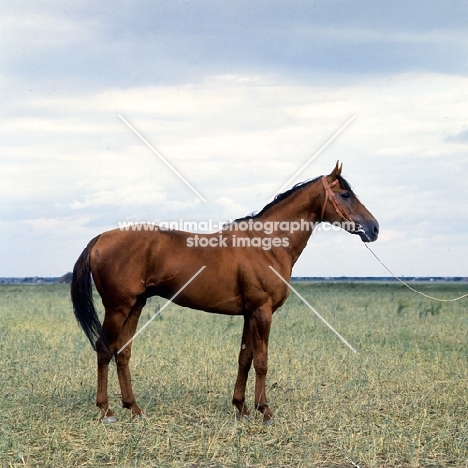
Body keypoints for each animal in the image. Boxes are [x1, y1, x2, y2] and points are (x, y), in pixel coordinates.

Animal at [69, 161, 378, 424]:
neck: (266, 243)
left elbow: (245, 358)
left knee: (122, 353)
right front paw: (265, 411)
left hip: (135, 306)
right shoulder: (262, 312)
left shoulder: (250, 313)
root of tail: (101, 238)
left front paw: (241, 407)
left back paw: (134, 408)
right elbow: (262, 361)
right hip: (118, 307)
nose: (373, 228)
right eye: (346, 194)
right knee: (103, 349)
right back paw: (106, 410)